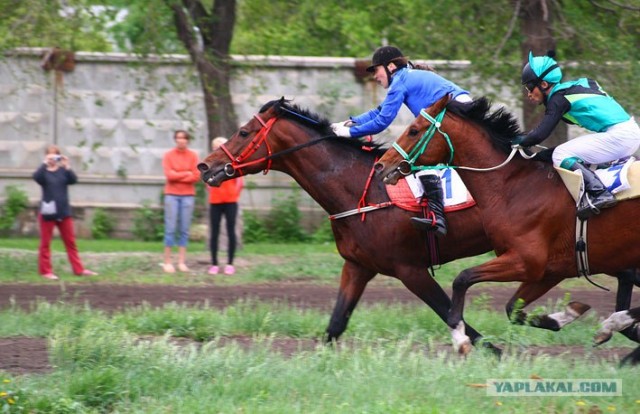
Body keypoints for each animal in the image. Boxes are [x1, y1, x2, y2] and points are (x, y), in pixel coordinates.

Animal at [376, 95, 640, 360]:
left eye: (413, 130)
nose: (381, 165)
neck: (513, 186)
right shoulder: (549, 269)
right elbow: (513, 310)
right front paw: (567, 314)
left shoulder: (526, 260)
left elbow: (462, 278)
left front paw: (460, 338)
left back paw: (614, 324)